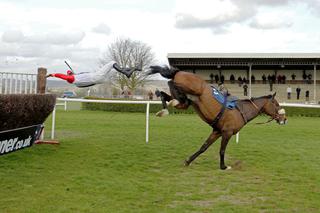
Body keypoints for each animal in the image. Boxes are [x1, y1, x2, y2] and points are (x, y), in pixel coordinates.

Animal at [148, 65, 288, 171]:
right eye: (276, 104)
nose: (284, 119)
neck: (241, 110)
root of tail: (179, 71)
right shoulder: (227, 132)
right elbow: (222, 150)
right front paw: (223, 166)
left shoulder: (217, 132)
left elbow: (204, 147)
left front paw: (188, 161)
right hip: (191, 89)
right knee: (171, 83)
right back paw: (163, 98)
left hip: (185, 103)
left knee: (170, 96)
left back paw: (163, 107)